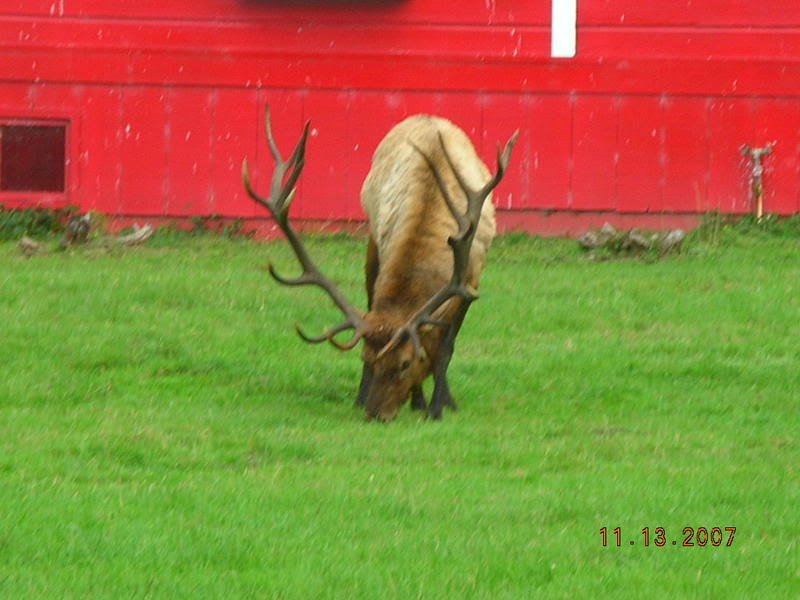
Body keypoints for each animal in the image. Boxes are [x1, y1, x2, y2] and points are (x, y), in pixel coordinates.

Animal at [241, 105, 516, 420]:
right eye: (367, 357)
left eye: (406, 363)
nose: (375, 414)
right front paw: (415, 401)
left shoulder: (470, 281)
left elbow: (445, 348)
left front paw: (439, 406)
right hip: (372, 241)